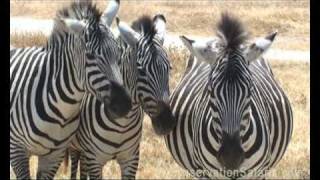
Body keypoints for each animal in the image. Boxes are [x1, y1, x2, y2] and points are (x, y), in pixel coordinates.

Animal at [10, 1, 131, 179]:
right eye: (90, 56)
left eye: (118, 52)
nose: (124, 104)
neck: (61, 111)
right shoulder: (17, 150)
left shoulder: (54, 156)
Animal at [64, 14, 175, 179]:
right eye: (141, 71)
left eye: (169, 68)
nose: (167, 122)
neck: (122, 124)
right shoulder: (95, 161)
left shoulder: (131, 159)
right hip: (75, 145)